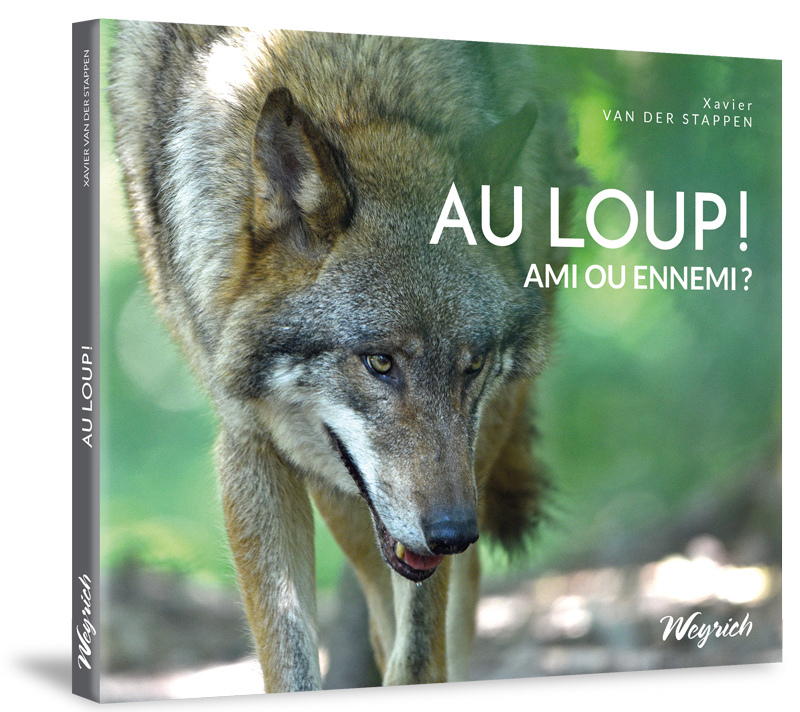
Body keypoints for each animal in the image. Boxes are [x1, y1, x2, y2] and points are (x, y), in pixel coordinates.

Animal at [109, 21, 583, 692]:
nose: (453, 533)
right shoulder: (249, 444)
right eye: (379, 363)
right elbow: (291, 663)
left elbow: (421, 657)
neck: (347, 87)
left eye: (472, 366)